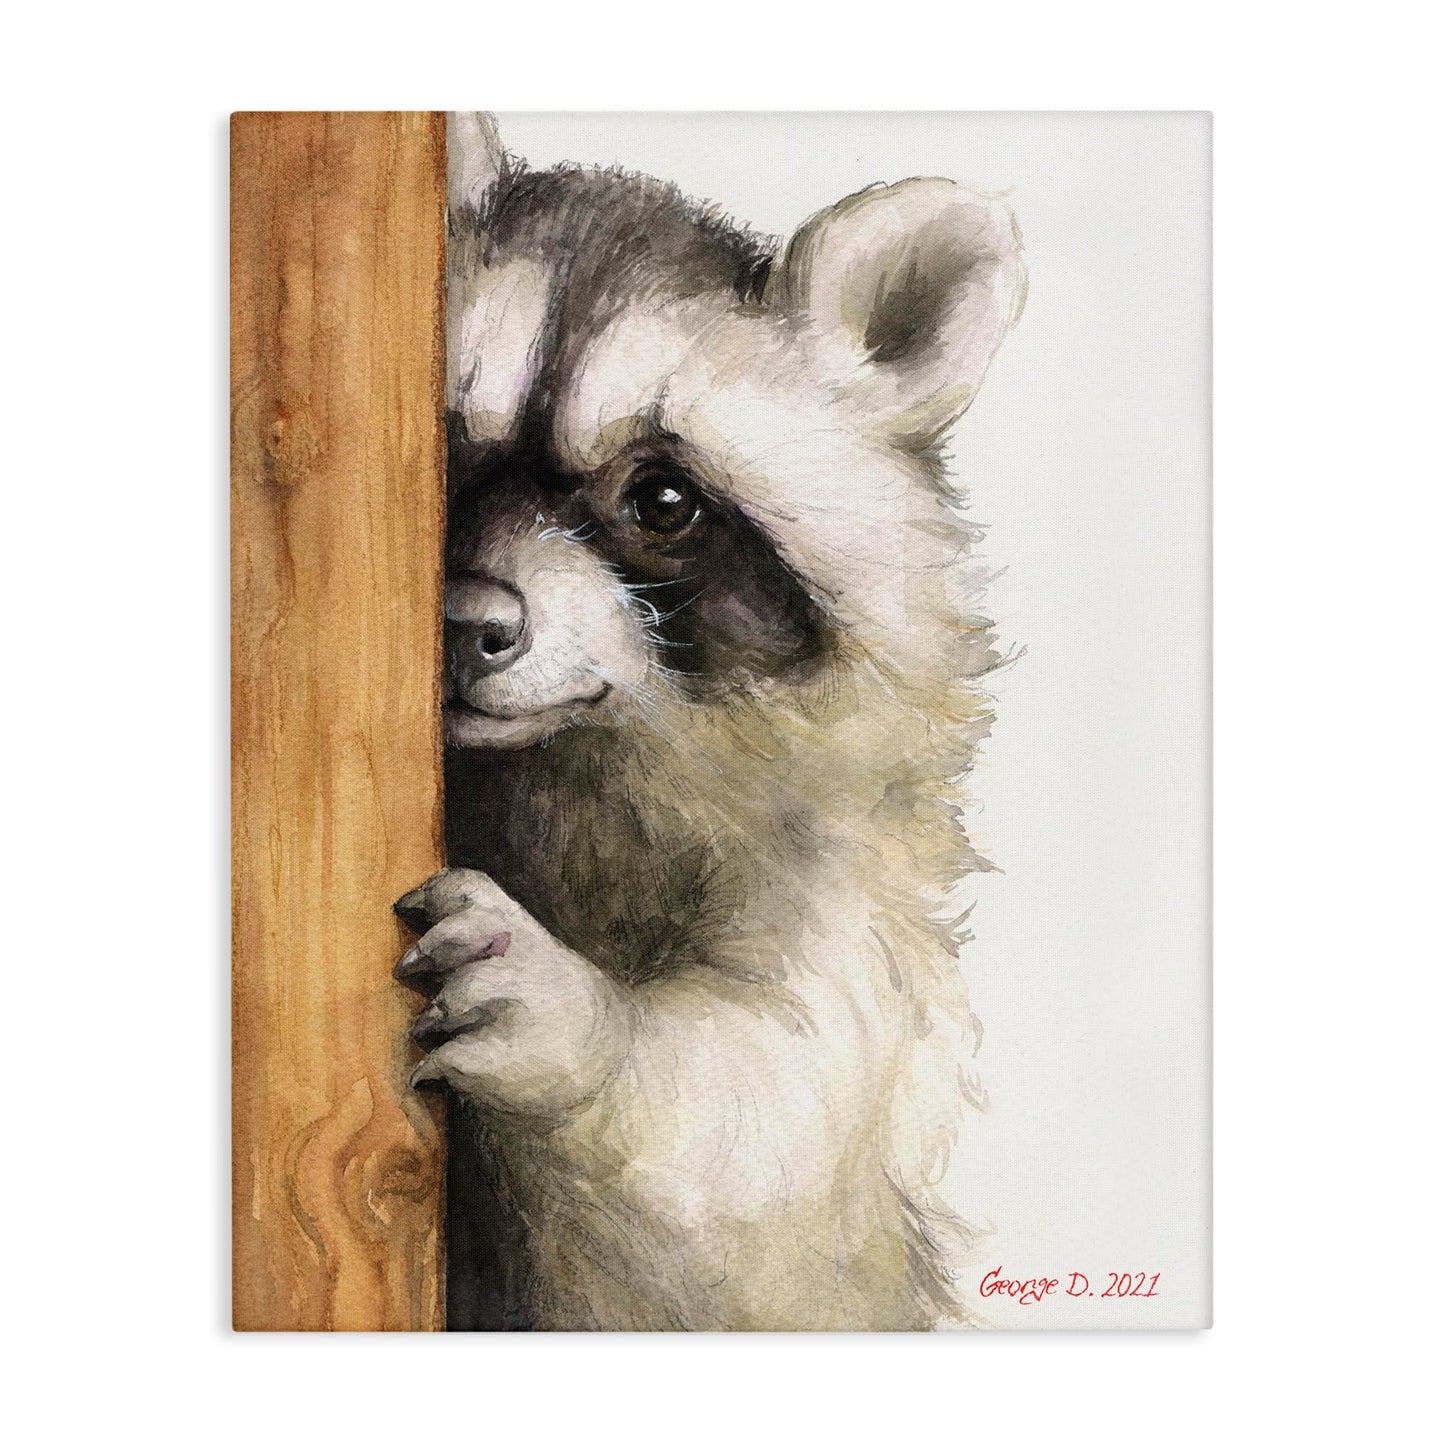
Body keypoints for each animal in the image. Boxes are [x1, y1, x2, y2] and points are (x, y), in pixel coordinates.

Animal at [393, 113, 1026, 1331]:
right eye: (435, 453)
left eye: (663, 501)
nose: (466, 628)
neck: (555, 768)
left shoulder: (848, 888)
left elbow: (768, 1136)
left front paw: (583, 1032)